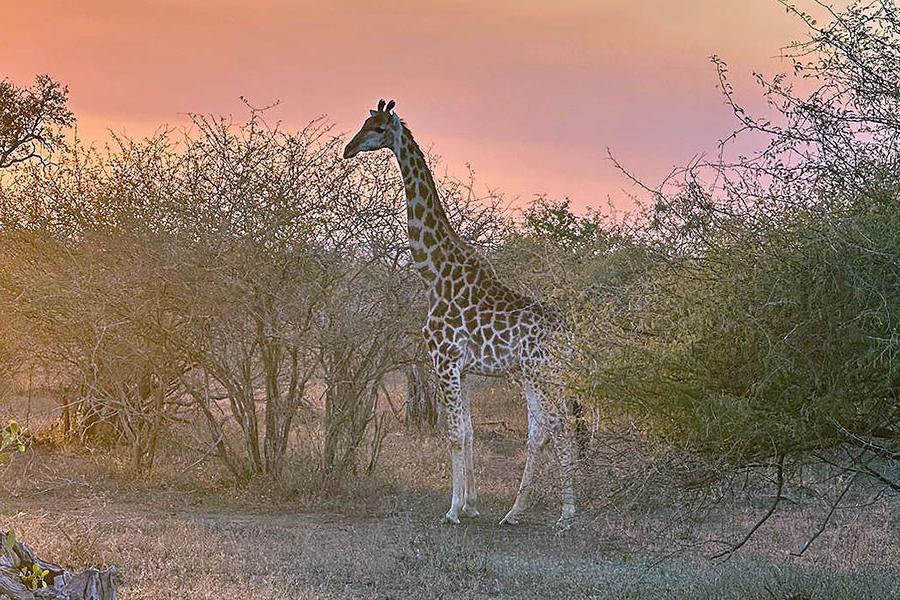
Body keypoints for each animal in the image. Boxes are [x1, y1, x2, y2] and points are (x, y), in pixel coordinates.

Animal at [342, 97, 580, 524]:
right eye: (363, 123)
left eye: (379, 128)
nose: (347, 149)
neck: (433, 271)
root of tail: (569, 334)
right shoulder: (465, 368)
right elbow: (468, 433)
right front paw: (471, 504)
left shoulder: (444, 359)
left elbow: (453, 434)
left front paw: (452, 510)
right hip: (534, 375)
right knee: (541, 430)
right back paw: (514, 512)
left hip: (543, 373)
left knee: (558, 426)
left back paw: (567, 513)